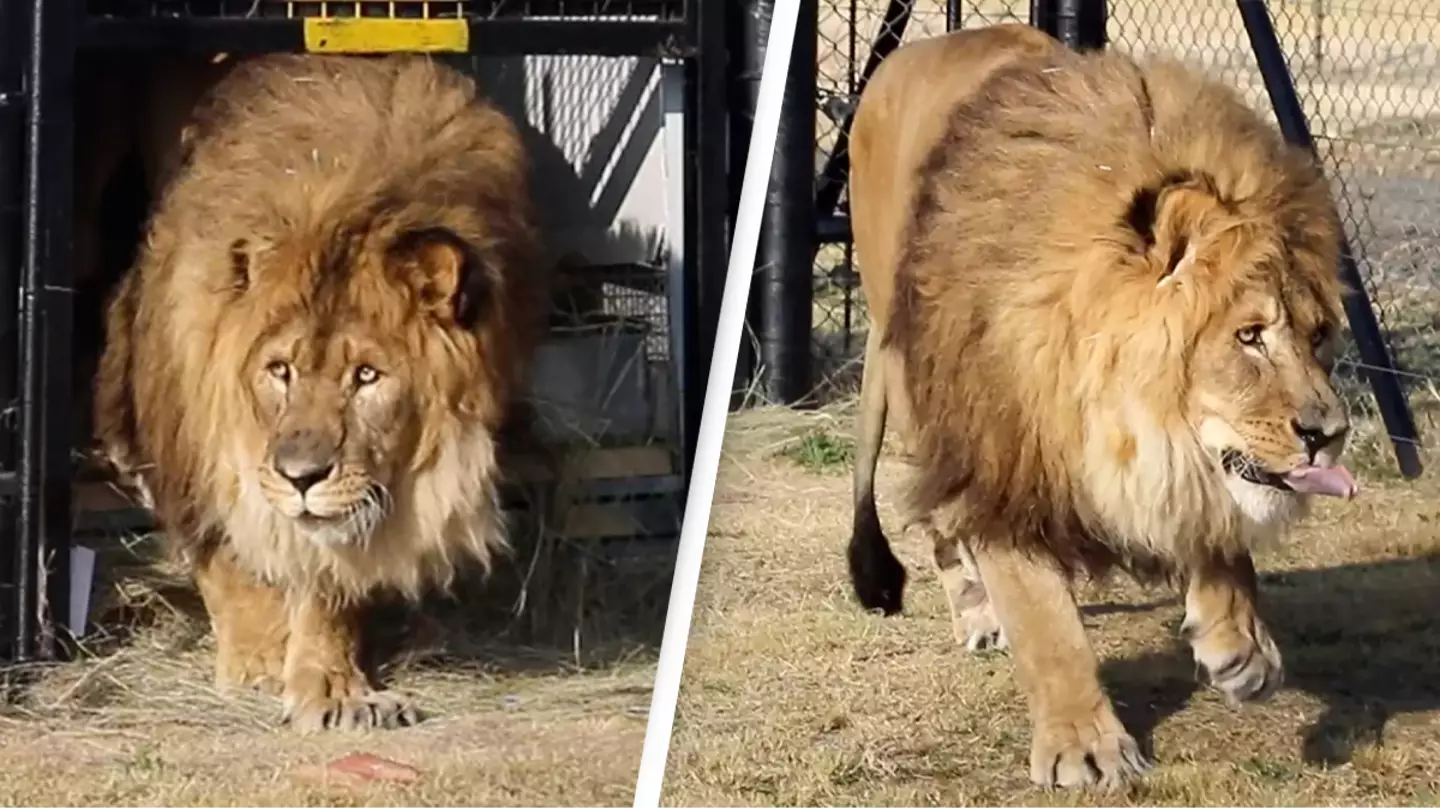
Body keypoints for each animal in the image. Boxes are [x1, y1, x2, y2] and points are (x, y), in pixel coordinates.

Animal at [92, 53, 547, 729]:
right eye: (280, 370)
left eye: (367, 376)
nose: (301, 476)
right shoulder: (191, 432)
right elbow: (229, 554)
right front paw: (256, 661)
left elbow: (328, 578)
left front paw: (332, 687)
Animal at [840, 23, 1359, 784]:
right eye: (1249, 336)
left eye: (1318, 335)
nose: (1331, 433)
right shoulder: (1002, 452)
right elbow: (1045, 620)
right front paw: (1083, 743)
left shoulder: (1181, 461)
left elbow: (1212, 517)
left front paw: (1240, 645)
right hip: (914, 378)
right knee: (939, 526)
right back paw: (976, 614)